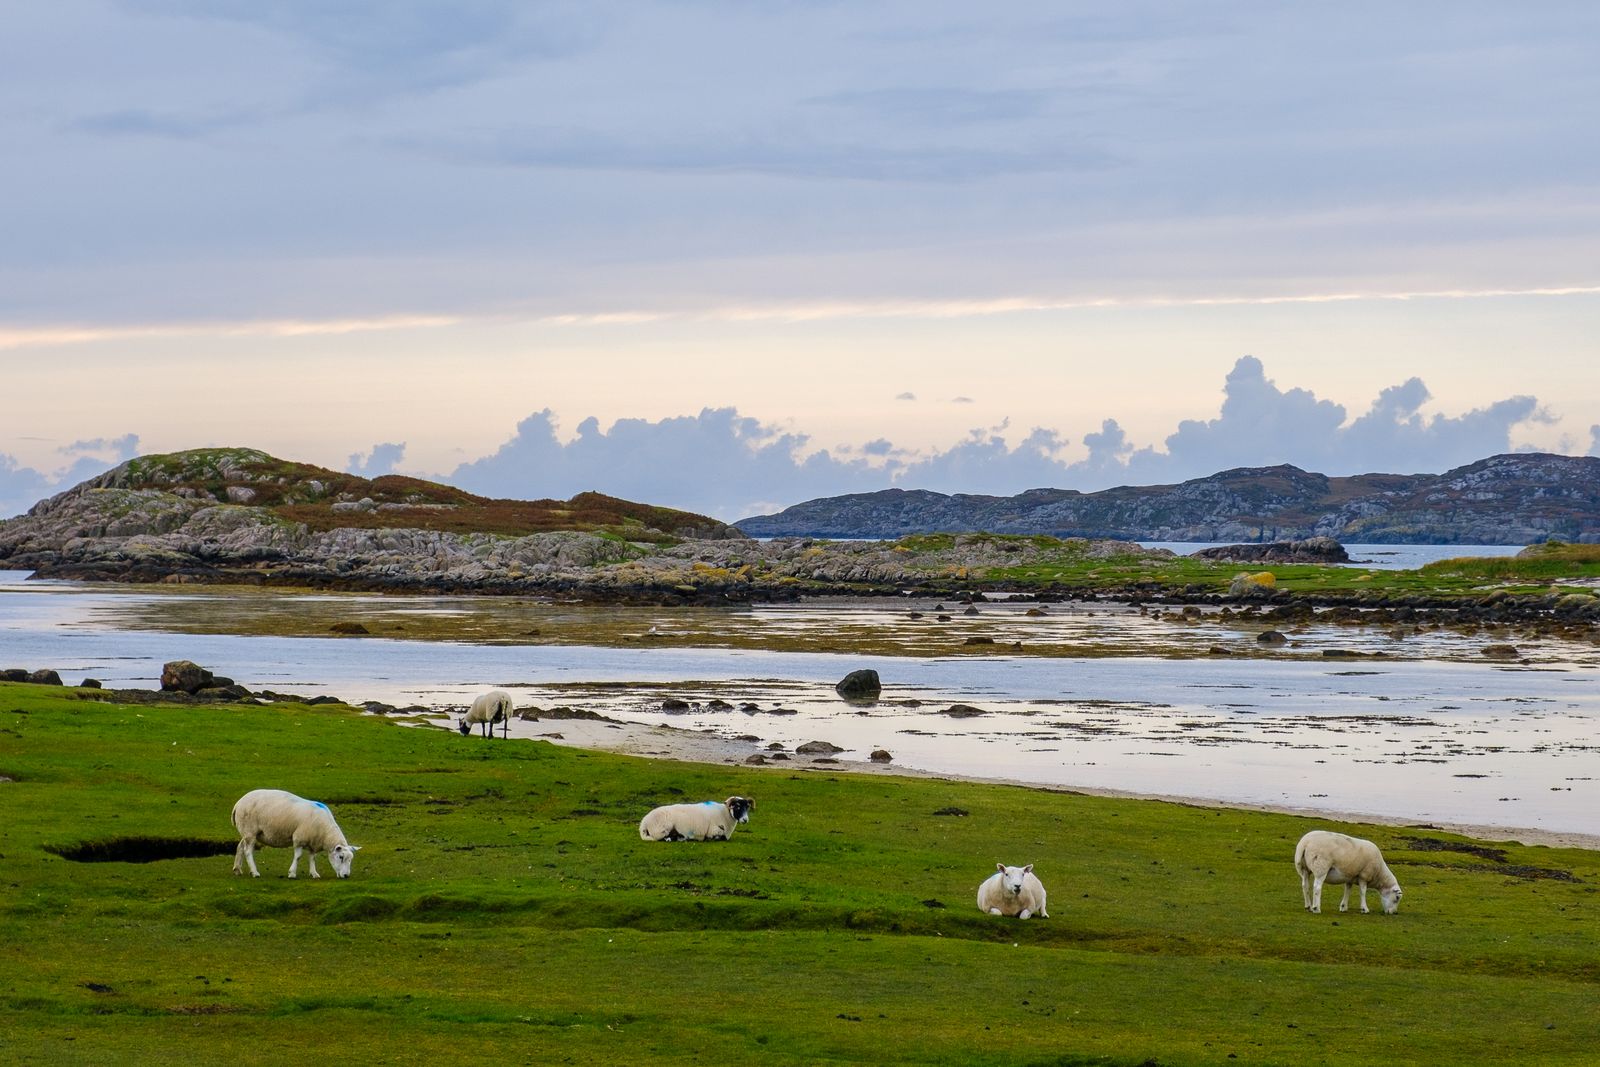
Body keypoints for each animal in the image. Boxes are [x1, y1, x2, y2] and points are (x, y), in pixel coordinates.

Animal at [232, 790, 360, 883]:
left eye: (351, 859)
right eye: (341, 857)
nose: (346, 875)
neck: (325, 833)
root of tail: (238, 803)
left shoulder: (313, 842)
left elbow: (312, 858)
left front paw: (314, 873)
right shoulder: (299, 838)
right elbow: (298, 856)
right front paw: (292, 873)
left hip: (247, 832)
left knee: (240, 847)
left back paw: (237, 869)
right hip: (250, 831)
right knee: (248, 851)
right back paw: (254, 872)